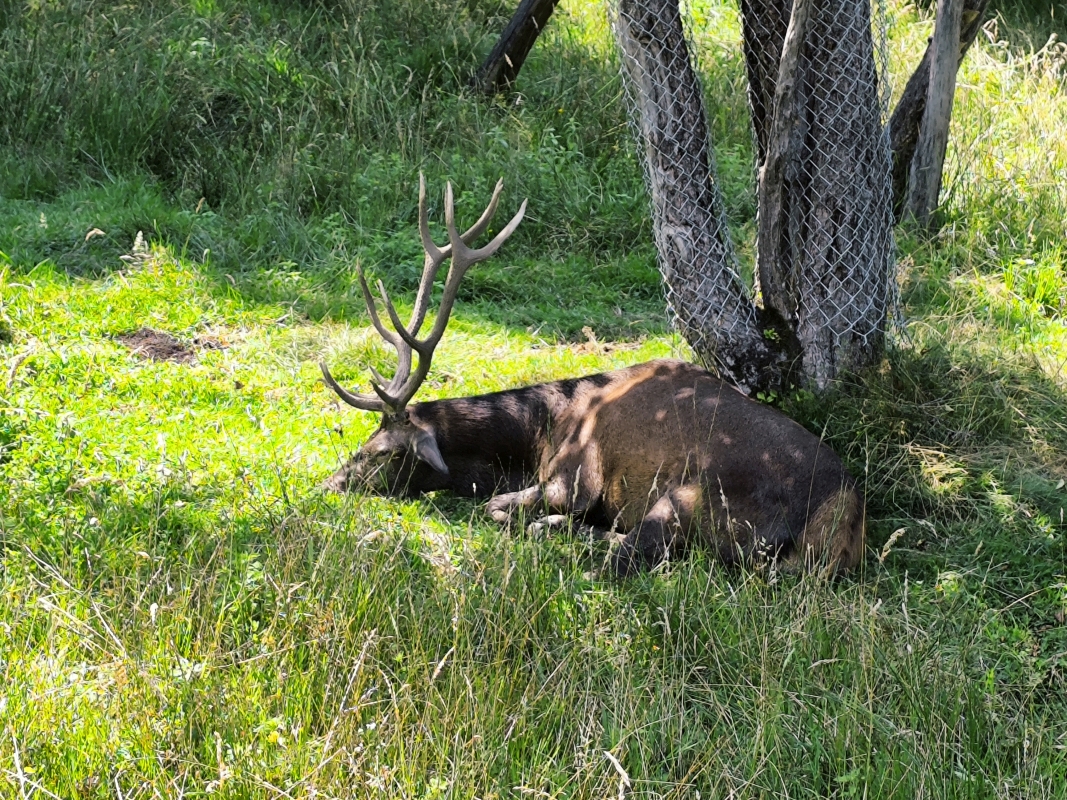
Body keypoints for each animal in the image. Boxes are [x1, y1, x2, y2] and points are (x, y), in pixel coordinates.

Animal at [319, 176, 865, 576]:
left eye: (382, 453)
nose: (331, 482)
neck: (542, 431)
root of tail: (839, 519)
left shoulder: (572, 477)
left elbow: (496, 506)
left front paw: (544, 521)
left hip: (693, 497)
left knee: (636, 553)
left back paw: (566, 534)